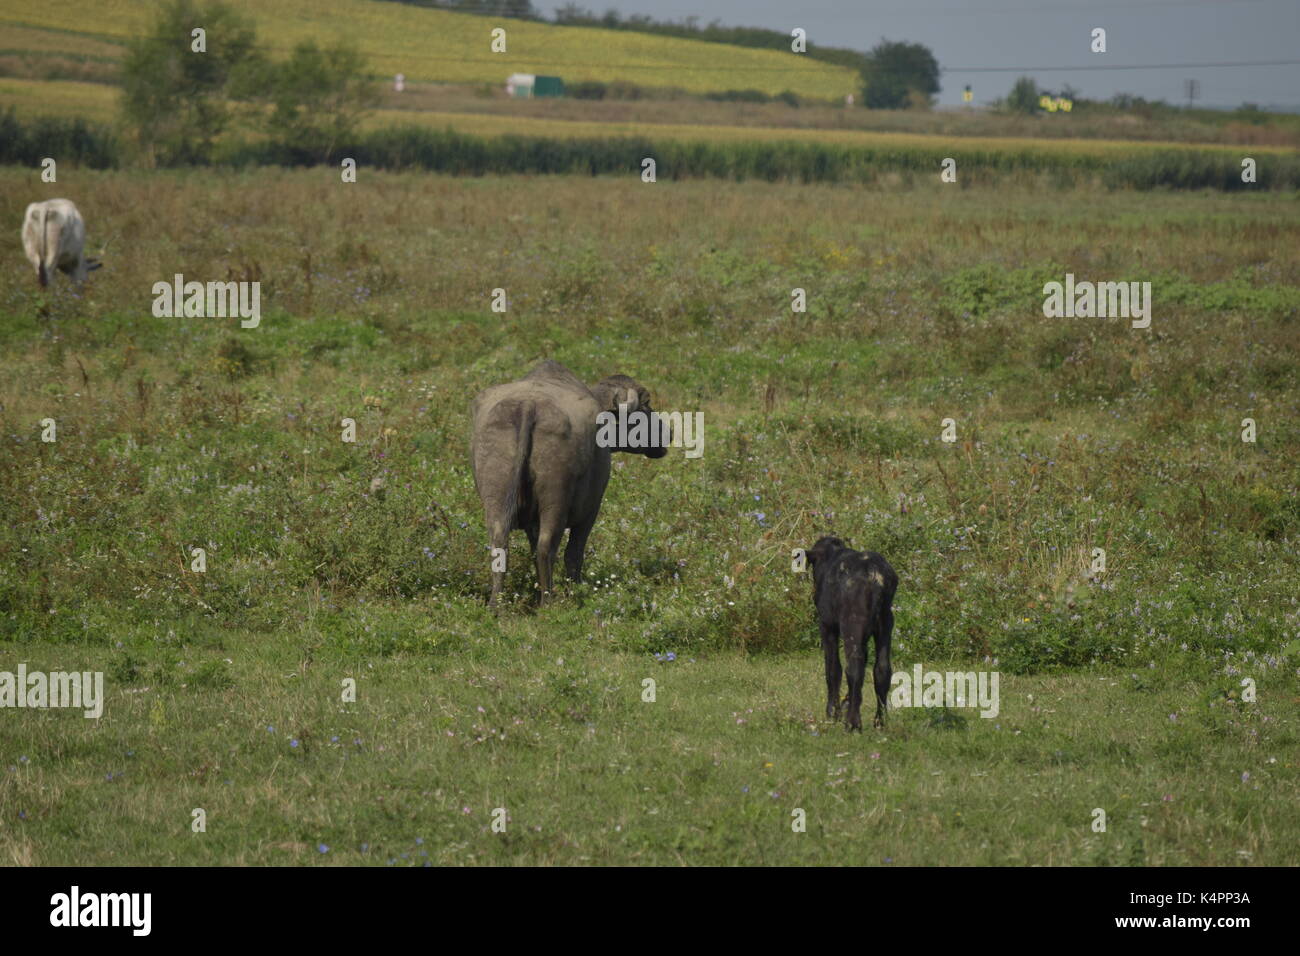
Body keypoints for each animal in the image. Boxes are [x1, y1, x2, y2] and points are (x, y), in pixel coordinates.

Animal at [470, 358, 670, 606]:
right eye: (646, 403)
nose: (667, 433)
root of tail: (528, 405)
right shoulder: (591, 510)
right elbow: (574, 553)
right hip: (556, 498)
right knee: (547, 547)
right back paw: (548, 603)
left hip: (496, 495)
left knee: (500, 543)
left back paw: (497, 604)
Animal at [800, 538, 894, 733]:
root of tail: (874, 575)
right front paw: (846, 703)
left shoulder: (827, 624)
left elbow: (833, 668)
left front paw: (833, 711)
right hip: (885, 621)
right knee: (882, 669)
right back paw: (879, 721)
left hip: (852, 623)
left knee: (854, 667)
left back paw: (853, 722)